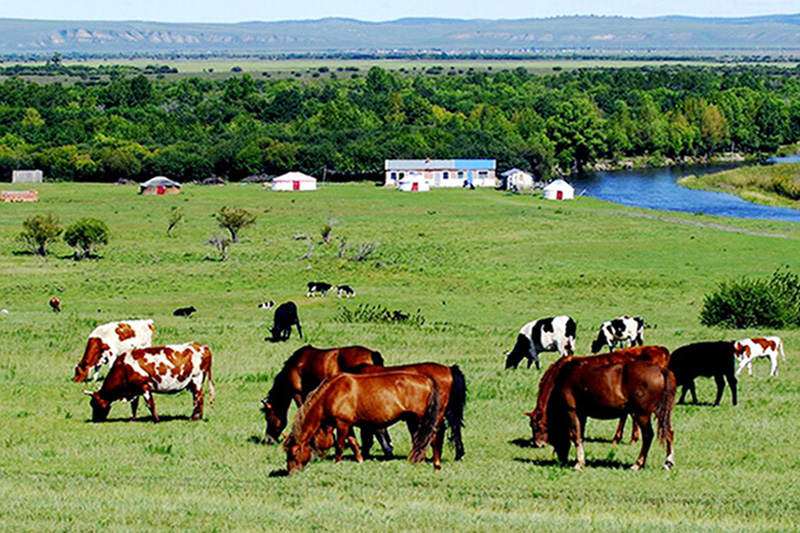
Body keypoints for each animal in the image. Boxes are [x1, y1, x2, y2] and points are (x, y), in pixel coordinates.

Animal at [83, 340, 214, 424]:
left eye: (95, 404)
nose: (95, 420)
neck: (124, 366)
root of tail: (203, 346)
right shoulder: (135, 389)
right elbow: (134, 405)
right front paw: (132, 419)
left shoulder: (145, 387)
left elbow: (150, 404)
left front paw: (156, 420)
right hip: (193, 383)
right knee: (200, 397)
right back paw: (199, 417)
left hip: (197, 379)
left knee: (198, 398)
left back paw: (192, 418)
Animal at [282, 370, 446, 474]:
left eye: (293, 453)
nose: (291, 472)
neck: (331, 393)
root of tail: (426, 380)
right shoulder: (348, 425)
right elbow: (353, 442)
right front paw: (360, 461)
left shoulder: (342, 424)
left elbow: (340, 445)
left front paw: (337, 463)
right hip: (413, 419)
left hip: (422, 418)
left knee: (432, 438)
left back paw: (436, 465)